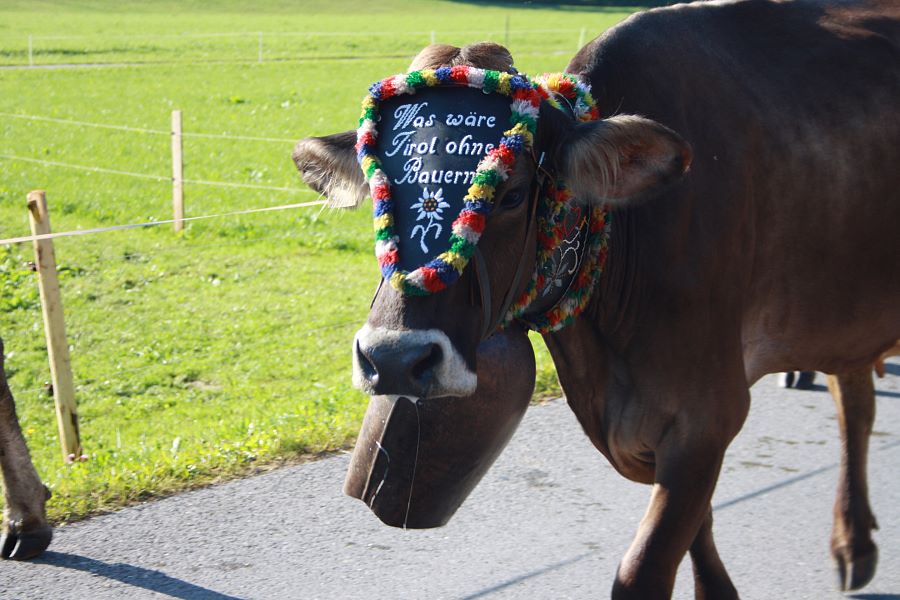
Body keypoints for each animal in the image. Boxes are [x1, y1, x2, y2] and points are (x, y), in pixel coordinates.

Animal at [296, 2, 900, 596]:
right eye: (379, 186)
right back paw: (854, 544)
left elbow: (643, 567)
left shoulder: (708, 412)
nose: (395, 359)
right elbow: (698, 533)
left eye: (512, 193)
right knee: (854, 401)